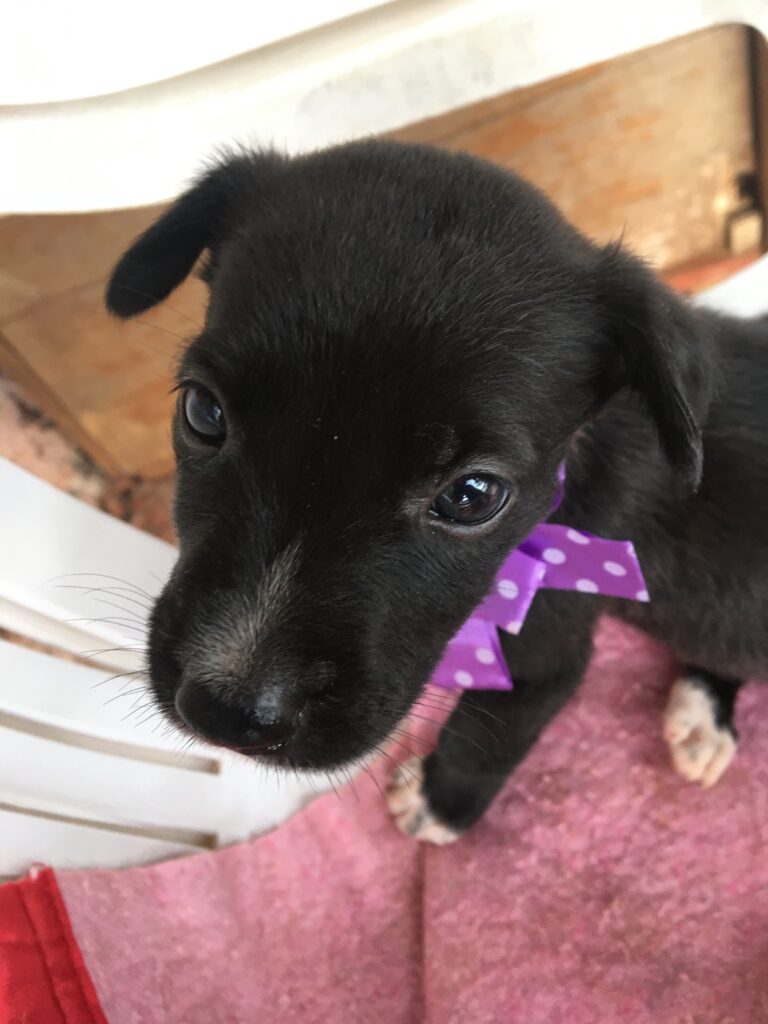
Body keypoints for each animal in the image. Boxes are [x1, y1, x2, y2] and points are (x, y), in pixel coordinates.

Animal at [107, 146, 768, 847]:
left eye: (473, 495)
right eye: (203, 411)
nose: (226, 712)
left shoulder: (546, 643)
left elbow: (490, 731)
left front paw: (437, 800)